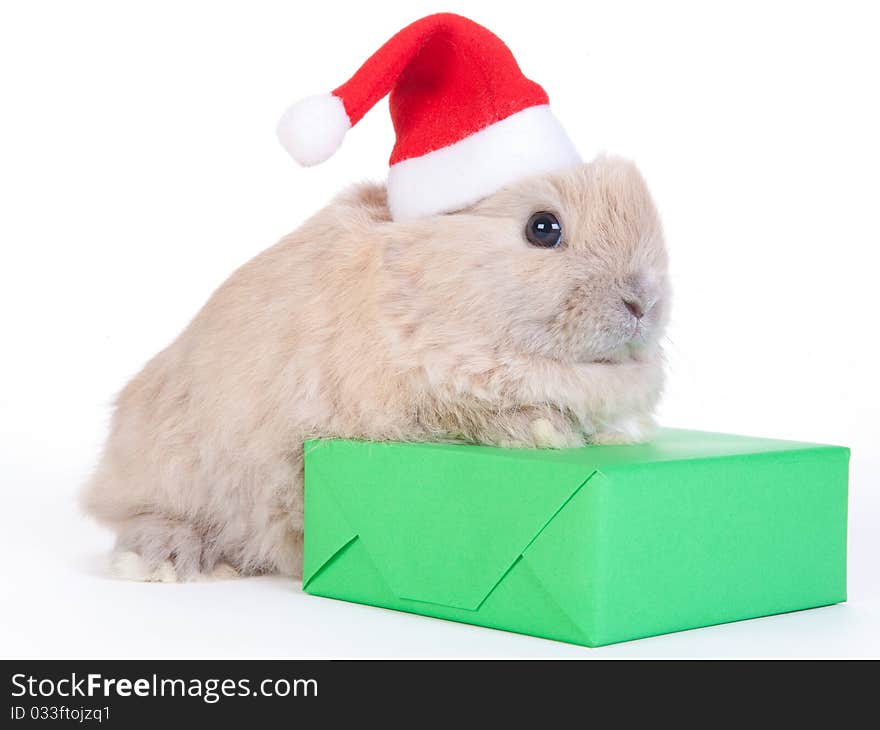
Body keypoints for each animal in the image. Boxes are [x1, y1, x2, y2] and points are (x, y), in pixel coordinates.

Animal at [82, 155, 672, 580]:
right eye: (542, 228)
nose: (643, 301)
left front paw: (621, 435)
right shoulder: (400, 409)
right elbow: (477, 417)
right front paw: (546, 433)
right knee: (149, 514)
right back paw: (157, 562)